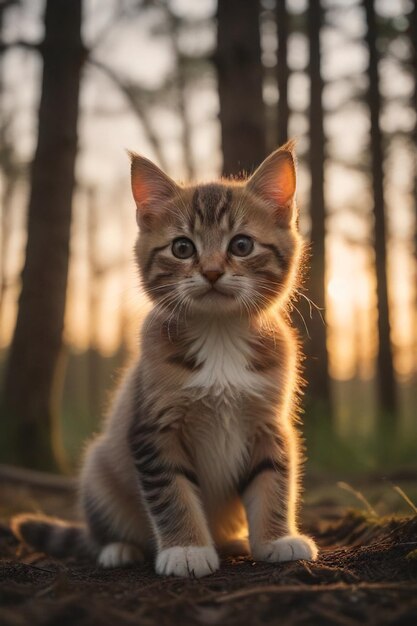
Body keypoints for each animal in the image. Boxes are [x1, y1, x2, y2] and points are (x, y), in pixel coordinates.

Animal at [13, 141, 318, 576]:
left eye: (241, 245)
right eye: (182, 248)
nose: (211, 272)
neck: (219, 334)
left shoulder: (269, 422)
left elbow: (273, 479)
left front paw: (276, 539)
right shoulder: (152, 428)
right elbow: (172, 493)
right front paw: (186, 549)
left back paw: (232, 540)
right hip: (99, 466)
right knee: (101, 528)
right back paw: (118, 548)